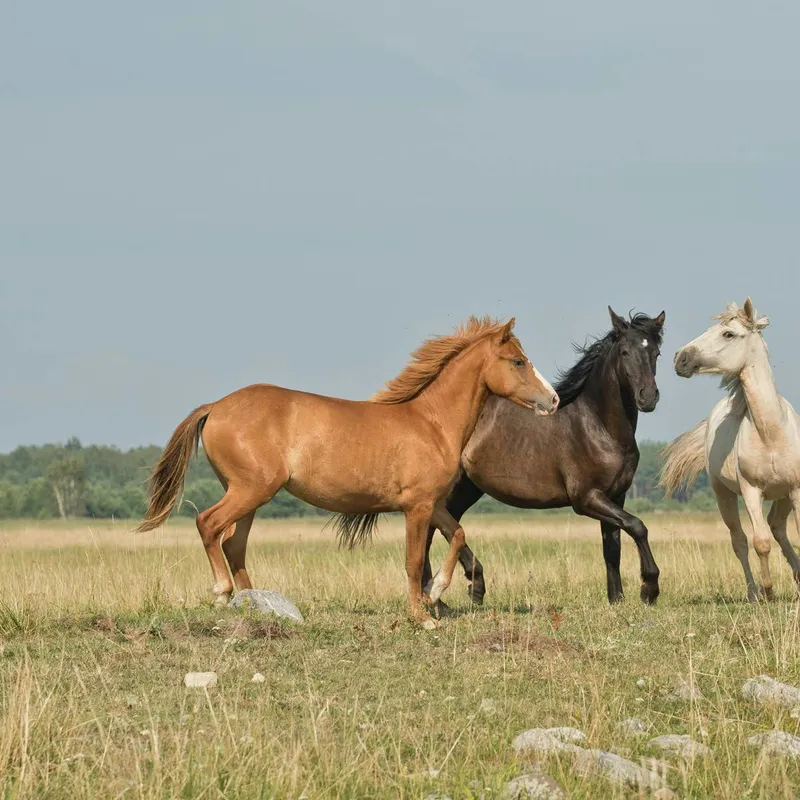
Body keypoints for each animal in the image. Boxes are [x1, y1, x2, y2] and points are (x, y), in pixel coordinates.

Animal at [137, 316, 559, 628]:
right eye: (518, 361)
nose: (553, 400)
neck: (432, 423)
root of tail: (216, 406)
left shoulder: (433, 504)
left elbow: (457, 536)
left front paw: (436, 592)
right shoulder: (417, 507)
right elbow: (413, 561)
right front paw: (422, 616)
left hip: (250, 496)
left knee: (233, 543)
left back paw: (256, 603)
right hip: (249, 490)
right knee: (208, 524)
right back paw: (223, 593)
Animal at [422, 307, 666, 606]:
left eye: (656, 353)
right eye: (624, 352)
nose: (648, 397)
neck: (598, 427)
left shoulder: (615, 496)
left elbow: (612, 547)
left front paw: (616, 599)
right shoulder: (586, 498)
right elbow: (637, 526)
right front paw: (649, 589)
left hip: (468, 487)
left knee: (445, 524)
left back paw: (459, 590)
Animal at [661, 298, 800, 602]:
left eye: (728, 334)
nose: (680, 358)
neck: (771, 433)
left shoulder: (797, 488)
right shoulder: (751, 491)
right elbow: (760, 542)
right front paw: (768, 591)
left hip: (783, 495)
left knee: (777, 526)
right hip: (723, 494)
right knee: (741, 541)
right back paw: (753, 592)